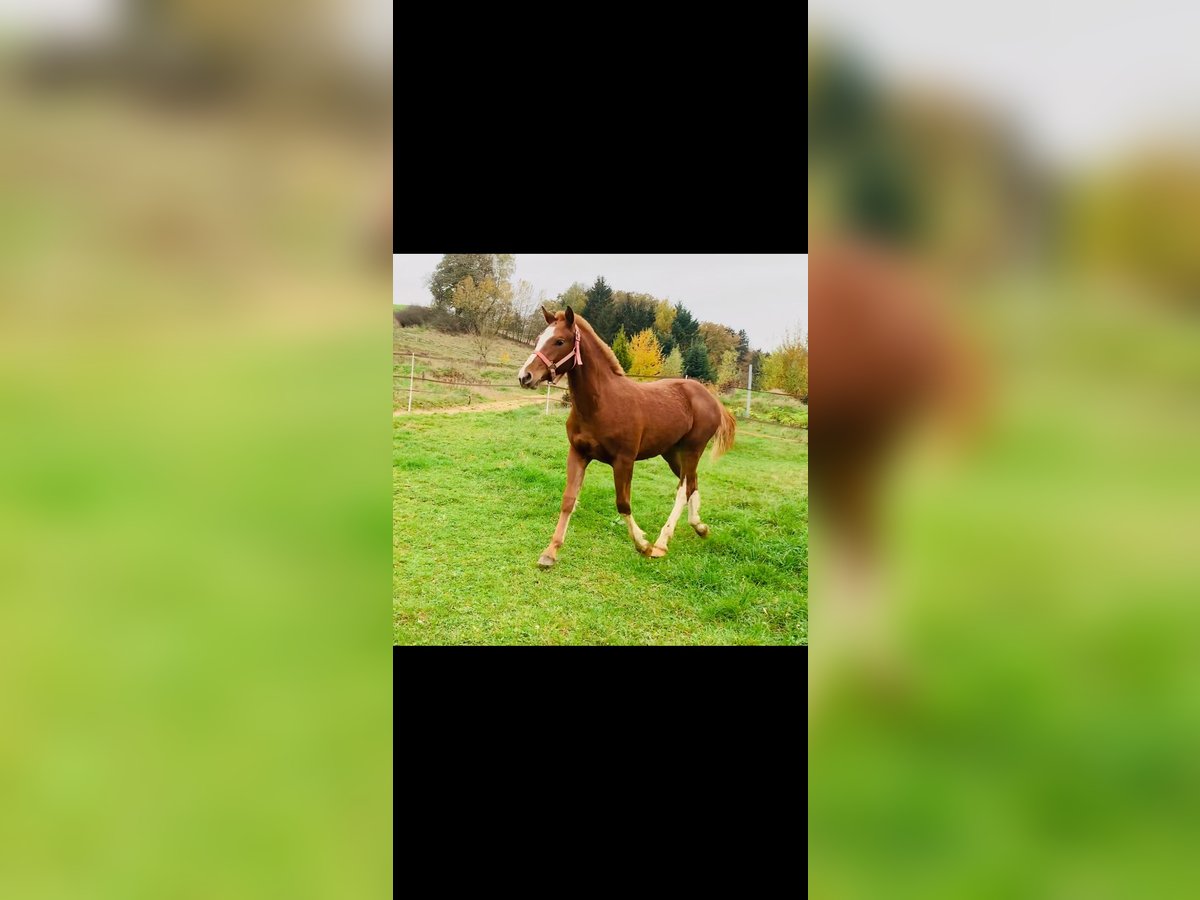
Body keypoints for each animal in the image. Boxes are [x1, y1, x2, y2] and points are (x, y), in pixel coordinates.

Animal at [518, 307, 734, 566]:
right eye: (540, 337)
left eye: (559, 341)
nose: (525, 376)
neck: (601, 404)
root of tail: (711, 398)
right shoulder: (578, 453)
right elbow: (568, 499)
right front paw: (550, 553)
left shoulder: (624, 461)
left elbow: (623, 504)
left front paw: (643, 545)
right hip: (671, 453)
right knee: (692, 483)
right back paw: (699, 527)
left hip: (693, 449)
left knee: (683, 489)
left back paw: (662, 543)